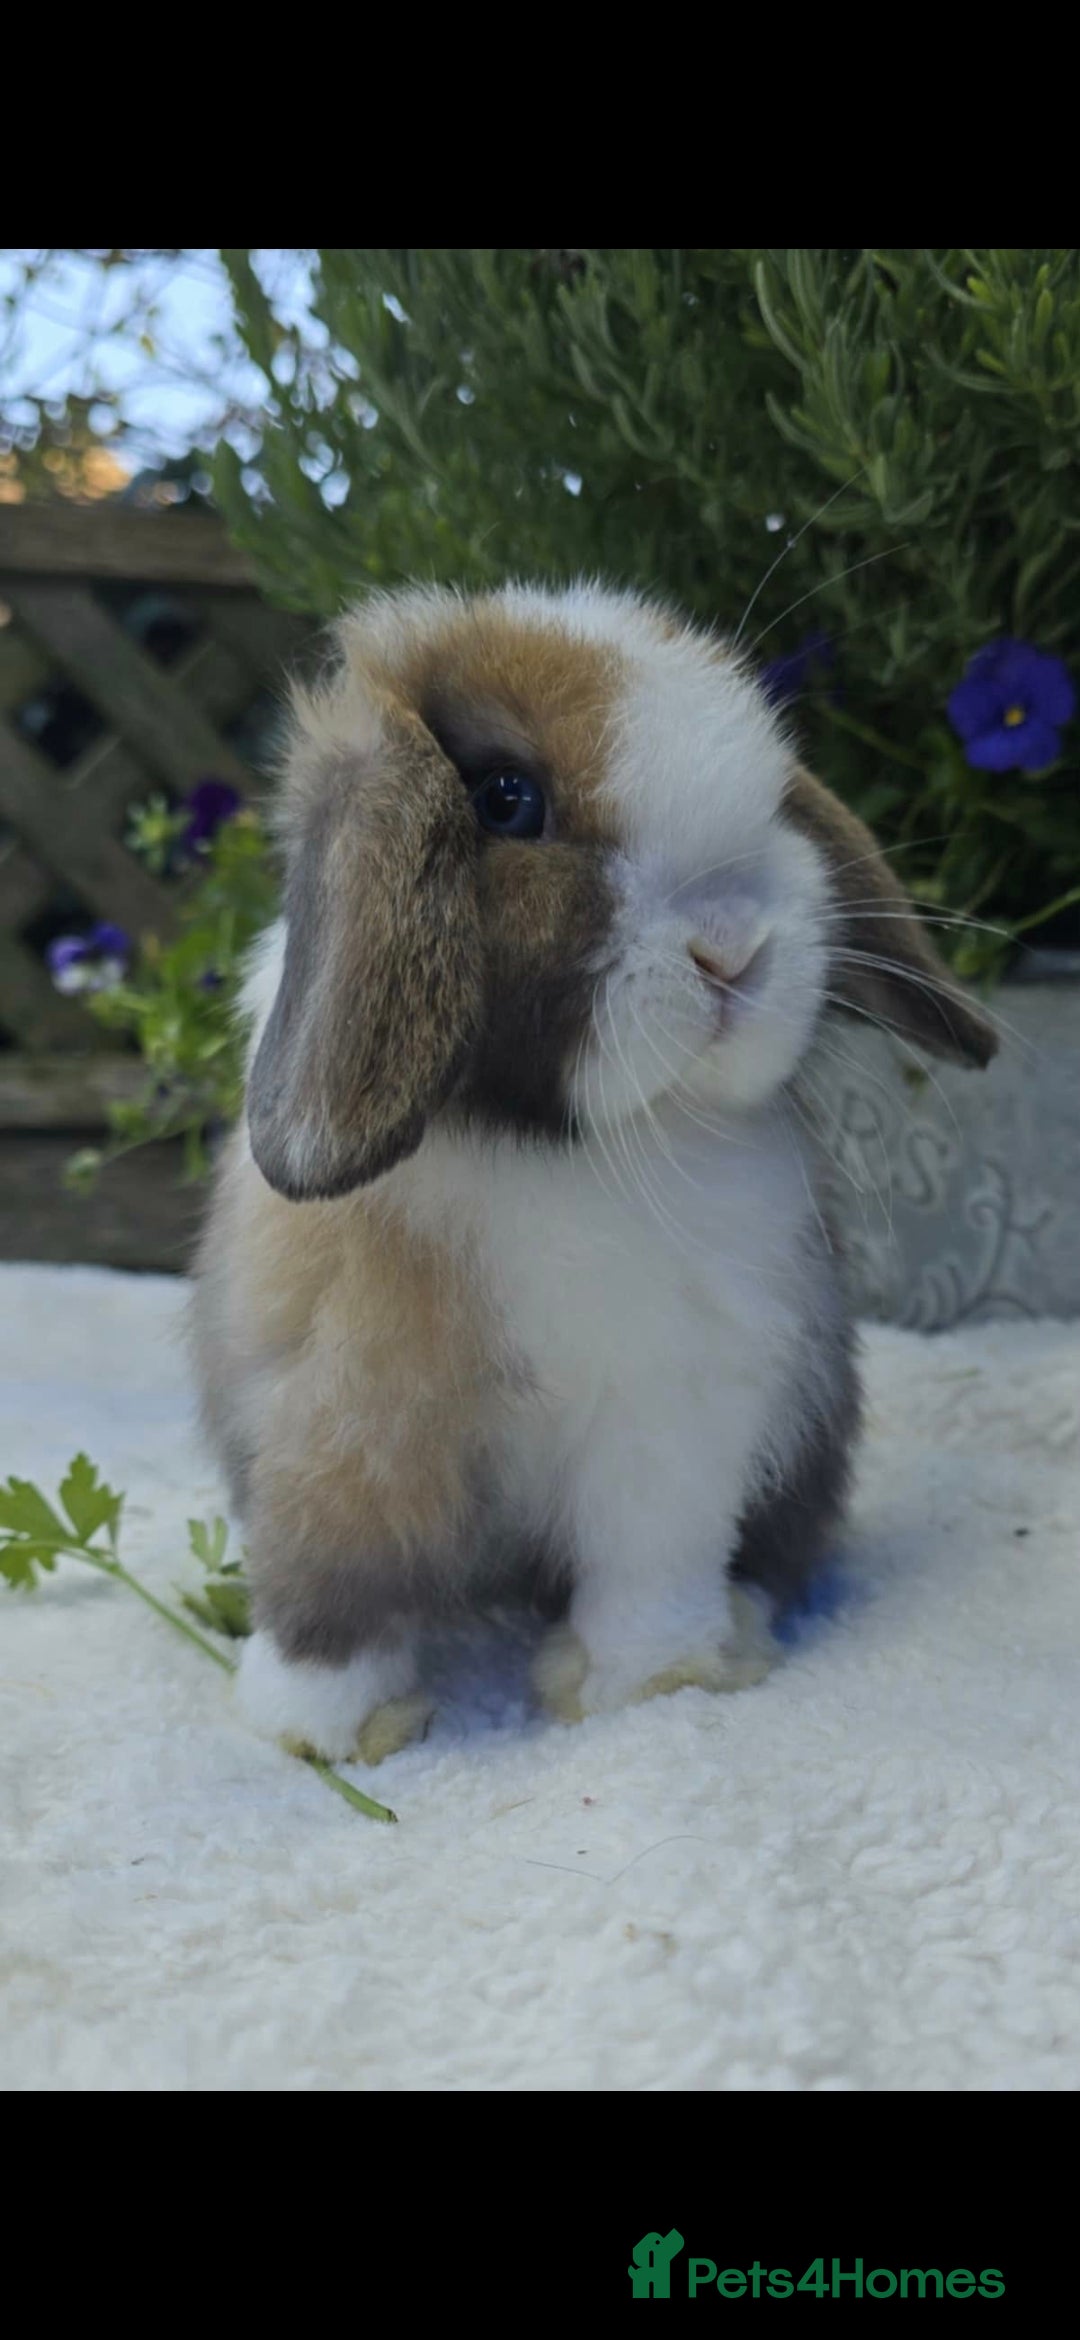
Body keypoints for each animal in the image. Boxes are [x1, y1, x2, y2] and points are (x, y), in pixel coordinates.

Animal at [191, 582, 997, 1764]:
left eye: (776, 800)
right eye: (506, 798)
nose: (733, 949)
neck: (550, 1145)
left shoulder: (673, 1402)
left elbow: (651, 1551)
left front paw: (650, 1683)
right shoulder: (344, 1411)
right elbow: (336, 1568)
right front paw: (321, 1728)